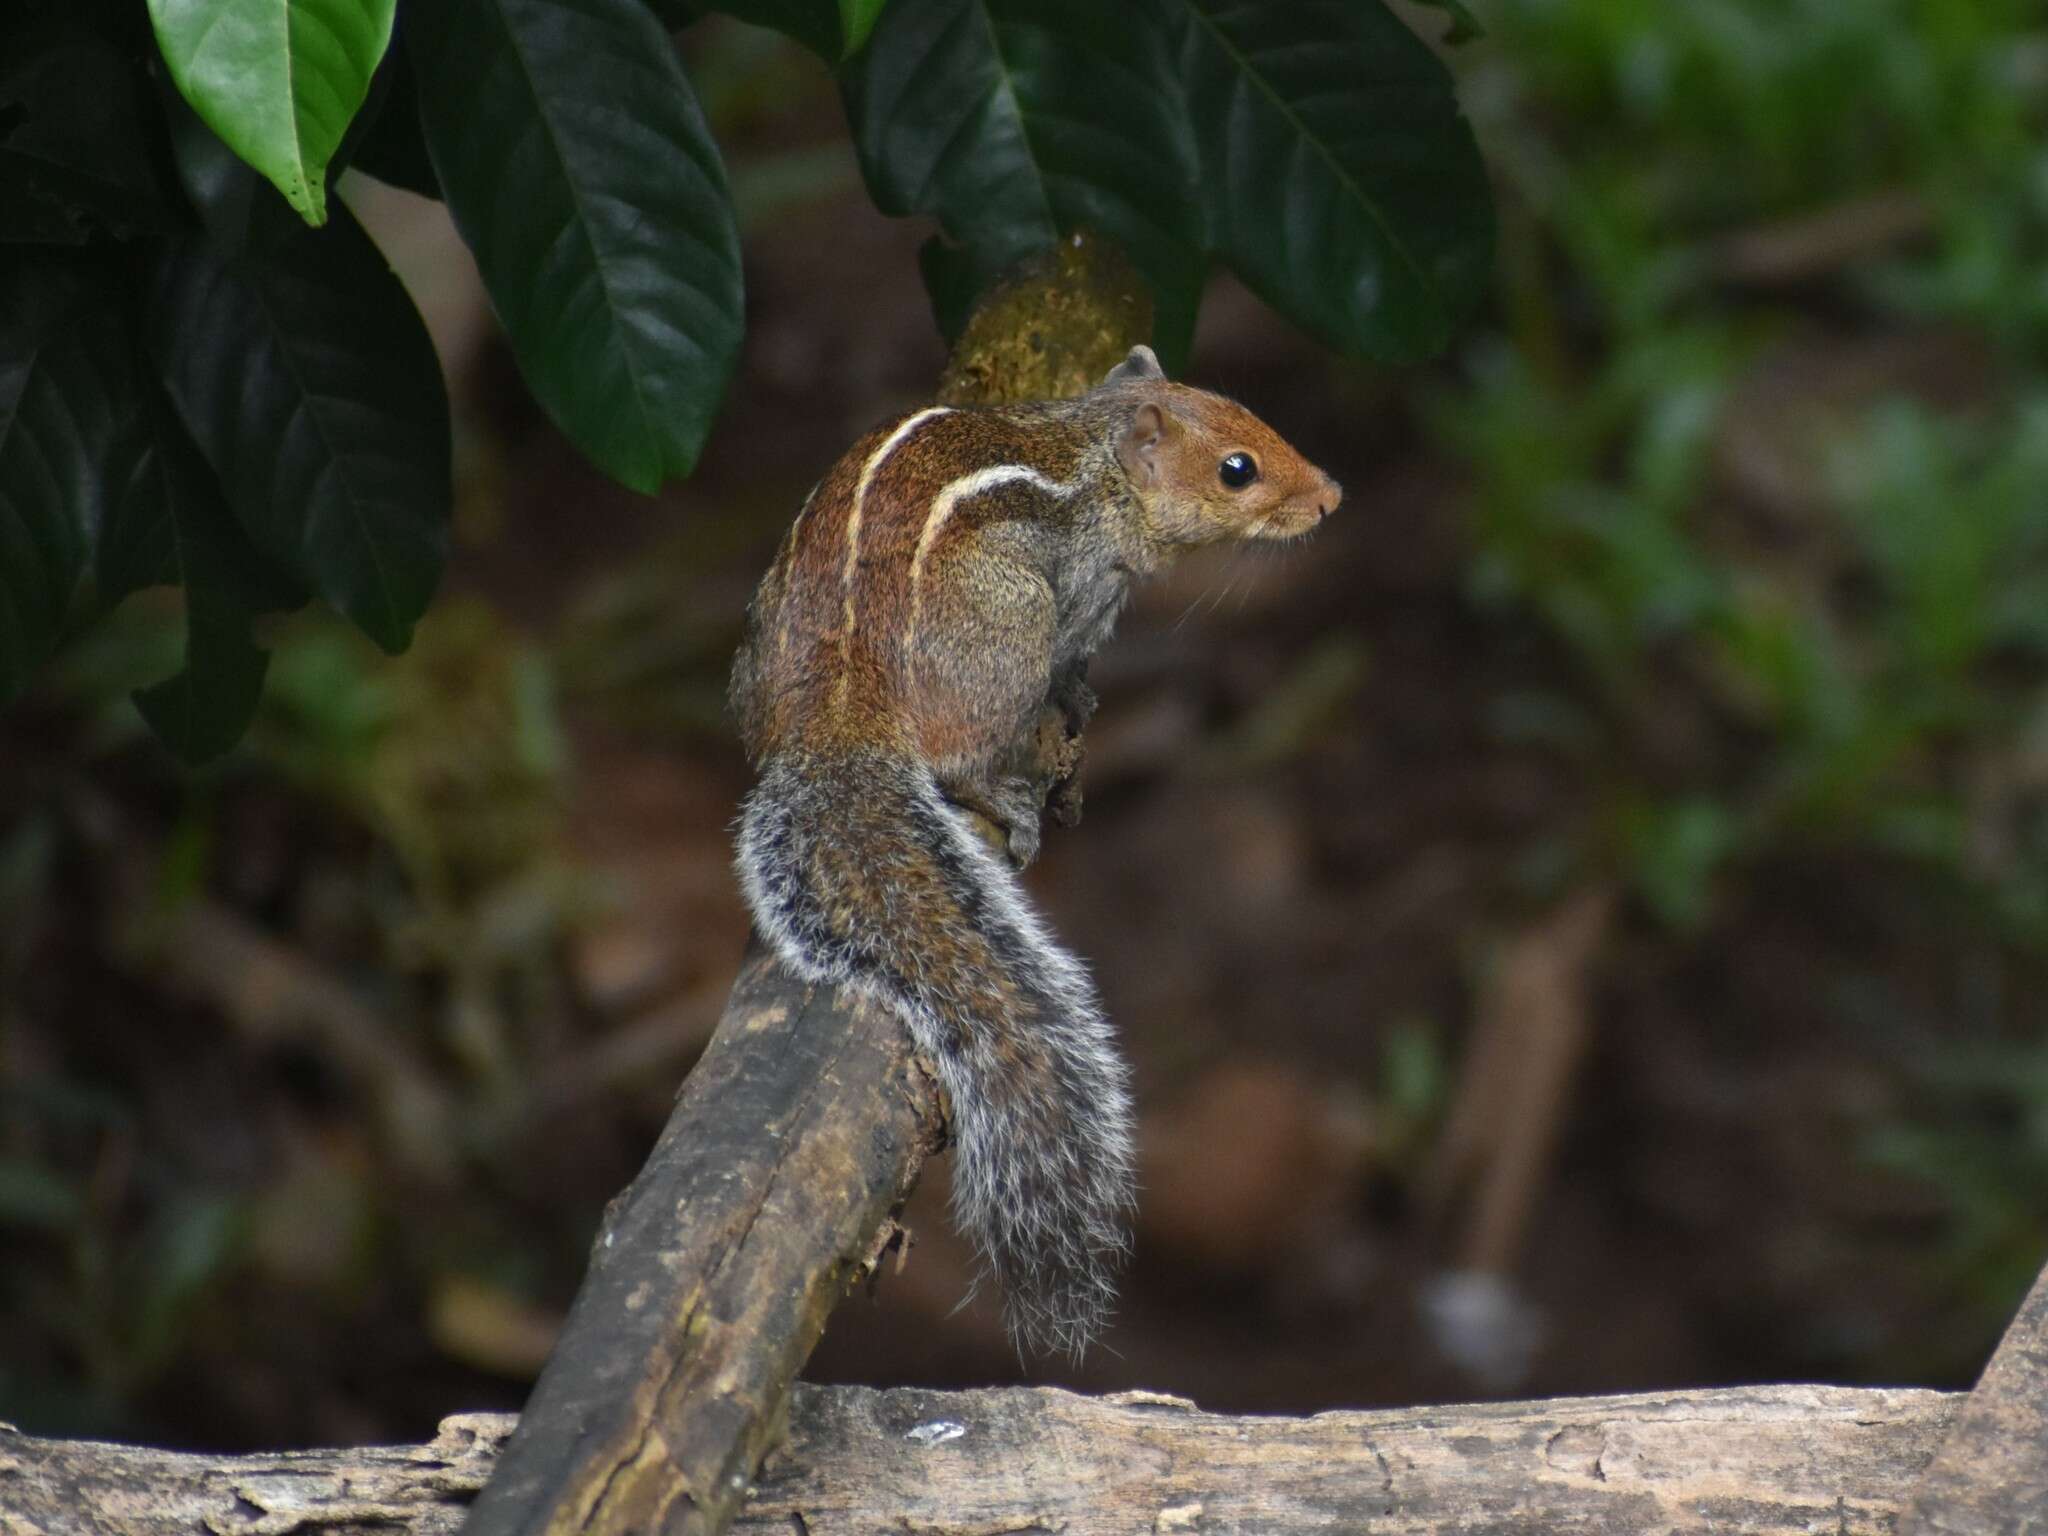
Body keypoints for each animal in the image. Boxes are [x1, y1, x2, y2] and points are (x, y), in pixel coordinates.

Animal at [729, 348, 1335, 1359]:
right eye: (1237, 469)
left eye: (1249, 412)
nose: (1330, 496)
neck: (1092, 448)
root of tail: (841, 713)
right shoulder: (1088, 584)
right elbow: (1078, 650)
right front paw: (1076, 696)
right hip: (1009, 626)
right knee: (960, 753)